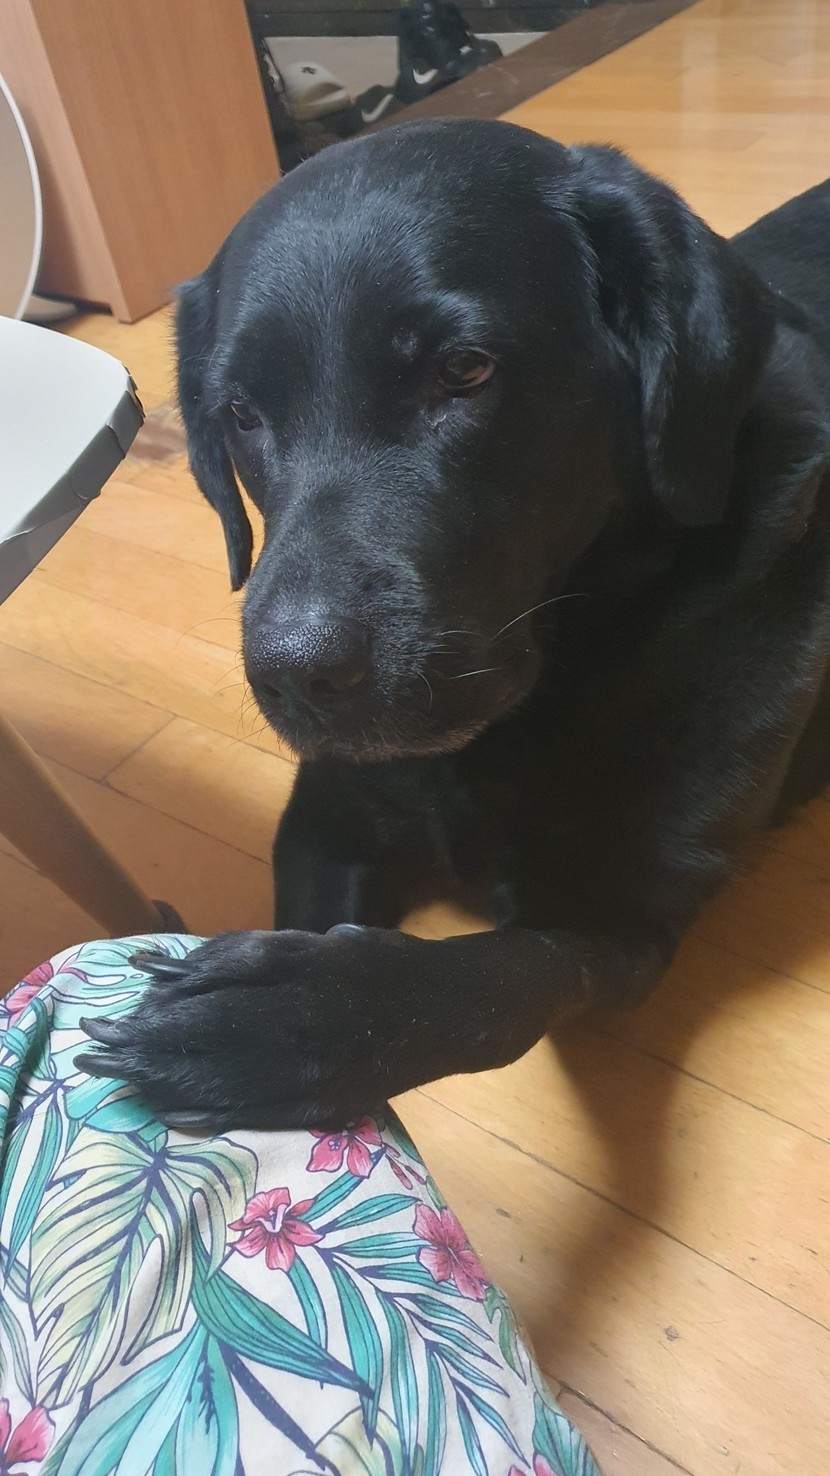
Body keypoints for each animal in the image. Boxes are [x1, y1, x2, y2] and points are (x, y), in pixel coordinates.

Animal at [78, 121, 830, 1130]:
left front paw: (276, 1021)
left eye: (465, 370)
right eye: (238, 412)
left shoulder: (624, 916)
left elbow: (499, 983)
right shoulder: (323, 820)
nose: (294, 674)